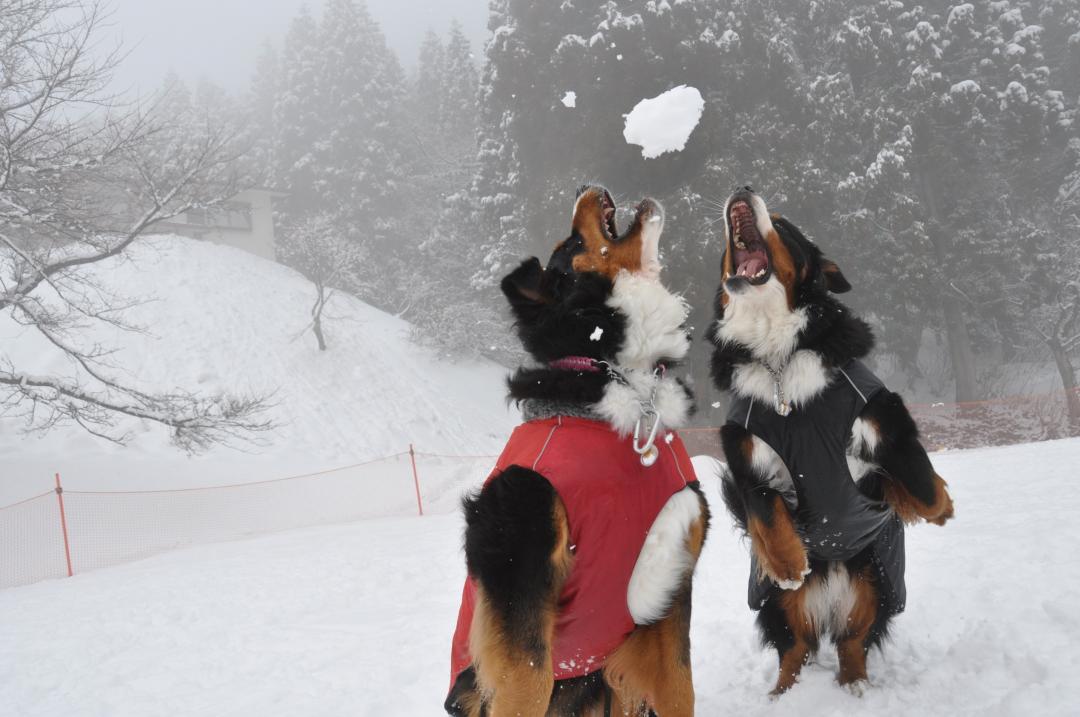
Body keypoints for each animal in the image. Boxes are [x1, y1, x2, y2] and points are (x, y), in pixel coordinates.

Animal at [444, 187, 708, 712]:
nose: (591, 187)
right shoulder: (518, 569)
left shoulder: (671, 588)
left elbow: (680, 689)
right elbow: (526, 685)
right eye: (567, 244)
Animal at [708, 184, 954, 695]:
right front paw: (787, 563)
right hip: (777, 604)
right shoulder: (743, 444)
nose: (742, 189)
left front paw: (939, 505)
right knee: (796, 648)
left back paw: (855, 687)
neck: (777, 355)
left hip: (877, 582)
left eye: (783, 224)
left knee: (852, 643)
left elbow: (917, 475)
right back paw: (781, 695)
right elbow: (764, 507)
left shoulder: (878, 410)